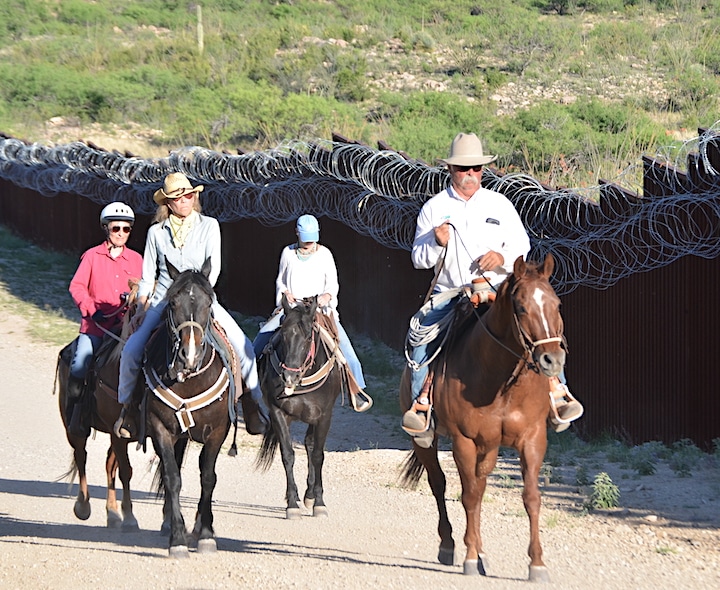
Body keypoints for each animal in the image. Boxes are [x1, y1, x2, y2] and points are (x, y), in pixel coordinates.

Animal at [56, 282, 142, 532]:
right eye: (133, 307)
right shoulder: (119, 434)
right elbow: (126, 471)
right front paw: (130, 516)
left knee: (108, 465)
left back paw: (112, 512)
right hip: (74, 427)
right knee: (81, 456)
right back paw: (83, 505)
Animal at [145, 260, 235, 560]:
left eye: (209, 302)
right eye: (173, 302)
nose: (190, 354)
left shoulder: (218, 431)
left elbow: (208, 477)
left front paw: (206, 534)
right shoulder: (160, 428)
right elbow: (172, 478)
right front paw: (177, 539)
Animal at [402, 254, 564, 584]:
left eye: (556, 305)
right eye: (522, 307)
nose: (552, 360)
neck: (502, 381)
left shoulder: (533, 439)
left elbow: (531, 497)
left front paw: (537, 564)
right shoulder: (464, 441)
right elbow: (469, 496)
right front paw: (469, 556)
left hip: (489, 447)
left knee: (480, 482)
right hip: (426, 441)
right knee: (440, 484)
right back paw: (452, 546)